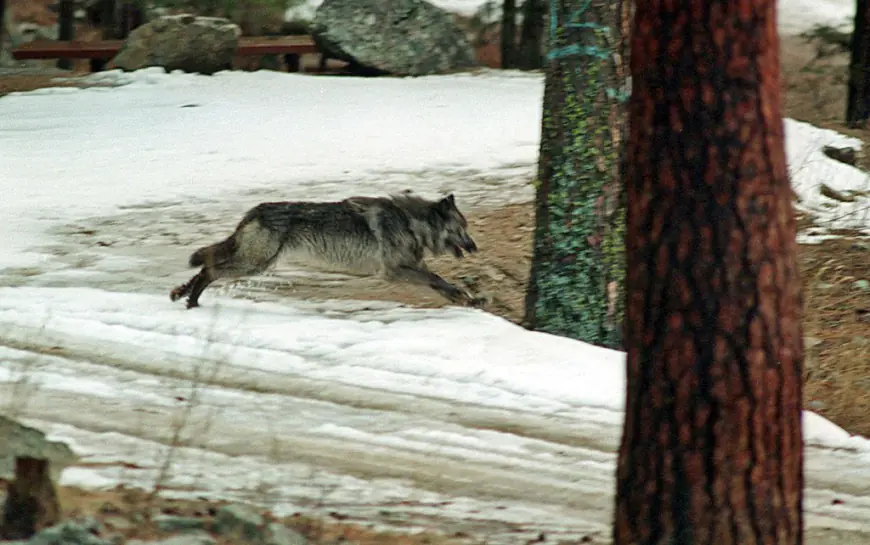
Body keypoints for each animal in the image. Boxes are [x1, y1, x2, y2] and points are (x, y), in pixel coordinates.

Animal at [170, 193, 484, 308]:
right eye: (462, 228)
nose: (474, 247)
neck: (410, 223)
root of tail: (253, 211)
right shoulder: (395, 271)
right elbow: (437, 279)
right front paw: (465, 296)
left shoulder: (411, 267)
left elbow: (440, 283)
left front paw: (468, 299)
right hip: (254, 265)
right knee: (210, 269)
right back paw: (192, 301)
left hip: (253, 262)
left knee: (207, 263)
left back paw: (181, 293)